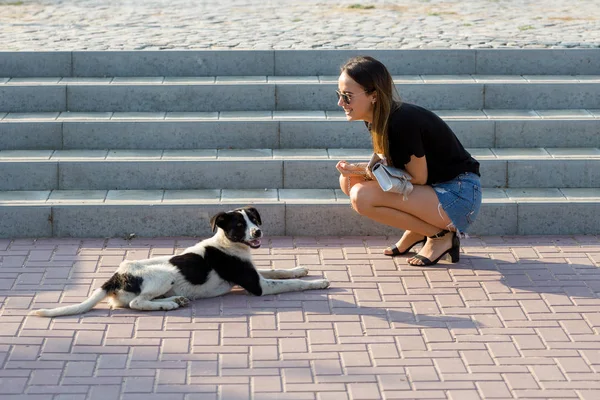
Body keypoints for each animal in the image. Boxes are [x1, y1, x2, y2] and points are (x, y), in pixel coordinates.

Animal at [34, 208, 328, 318]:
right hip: (165, 275)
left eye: (254, 220)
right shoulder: (258, 286)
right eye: (238, 225)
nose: (258, 233)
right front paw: (318, 282)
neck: (226, 244)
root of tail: (115, 277)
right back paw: (168, 304)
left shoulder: (254, 271)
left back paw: (175, 300)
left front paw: (300, 268)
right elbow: (290, 285)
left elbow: (279, 269)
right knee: (137, 303)